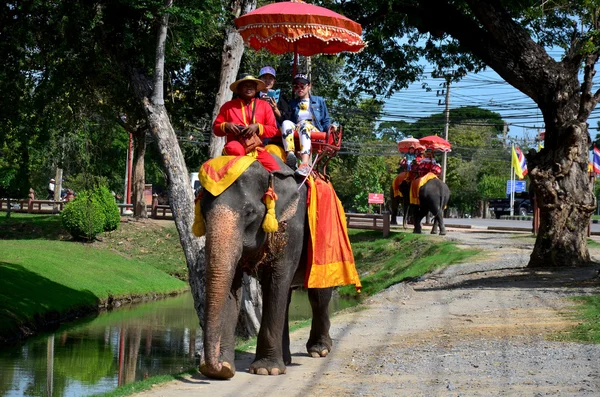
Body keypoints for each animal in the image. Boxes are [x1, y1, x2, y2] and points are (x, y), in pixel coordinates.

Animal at [200, 157, 332, 378]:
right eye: (202, 213)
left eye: (249, 213)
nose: (212, 367)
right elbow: (234, 286)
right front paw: (224, 369)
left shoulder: (293, 228)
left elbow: (276, 281)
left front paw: (265, 370)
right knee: (286, 299)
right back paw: (286, 359)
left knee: (318, 295)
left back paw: (319, 350)